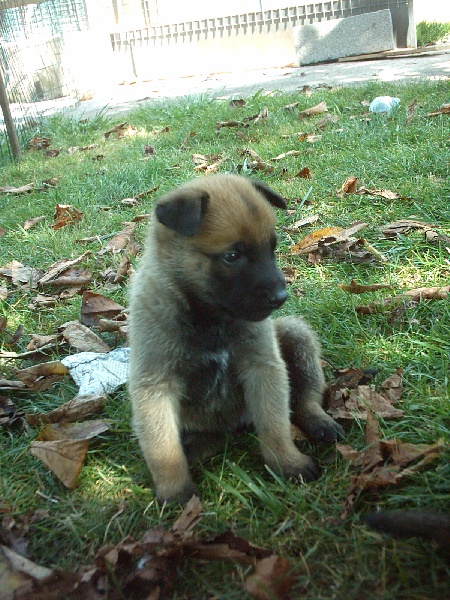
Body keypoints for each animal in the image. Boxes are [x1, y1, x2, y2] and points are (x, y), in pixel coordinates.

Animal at [128, 175, 342, 506]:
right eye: (232, 257)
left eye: (272, 249)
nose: (280, 297)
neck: (208, 318)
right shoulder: (155, 385)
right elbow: (163, 447)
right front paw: (175, 490)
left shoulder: (262, 366)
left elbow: (275, 423)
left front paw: (287, 463)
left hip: (295, 334)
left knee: (304, 398)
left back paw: (320, 423)